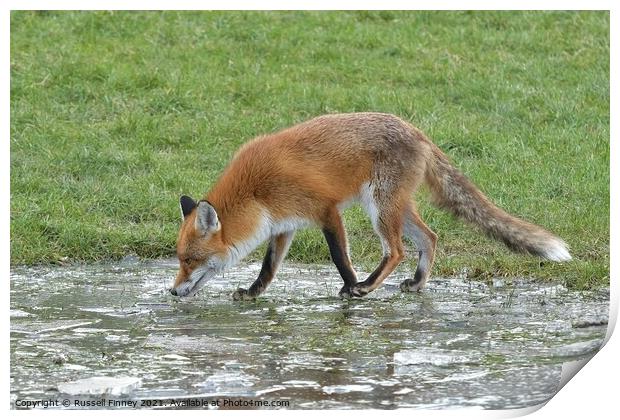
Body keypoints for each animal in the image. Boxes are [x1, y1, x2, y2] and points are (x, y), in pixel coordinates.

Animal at [170, 112, 572, 298]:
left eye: (189, 261)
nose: (172, 291)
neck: (256, 193)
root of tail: (417, 131)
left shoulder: (326, 211)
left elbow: (339, 257)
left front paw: (350, 287)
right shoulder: (283, 225)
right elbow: (268, 267)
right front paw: (253, 293)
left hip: (379, 207)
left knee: (396, 251)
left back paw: (367, 286)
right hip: (394, 206)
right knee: (430, 237)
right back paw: (417, 283)